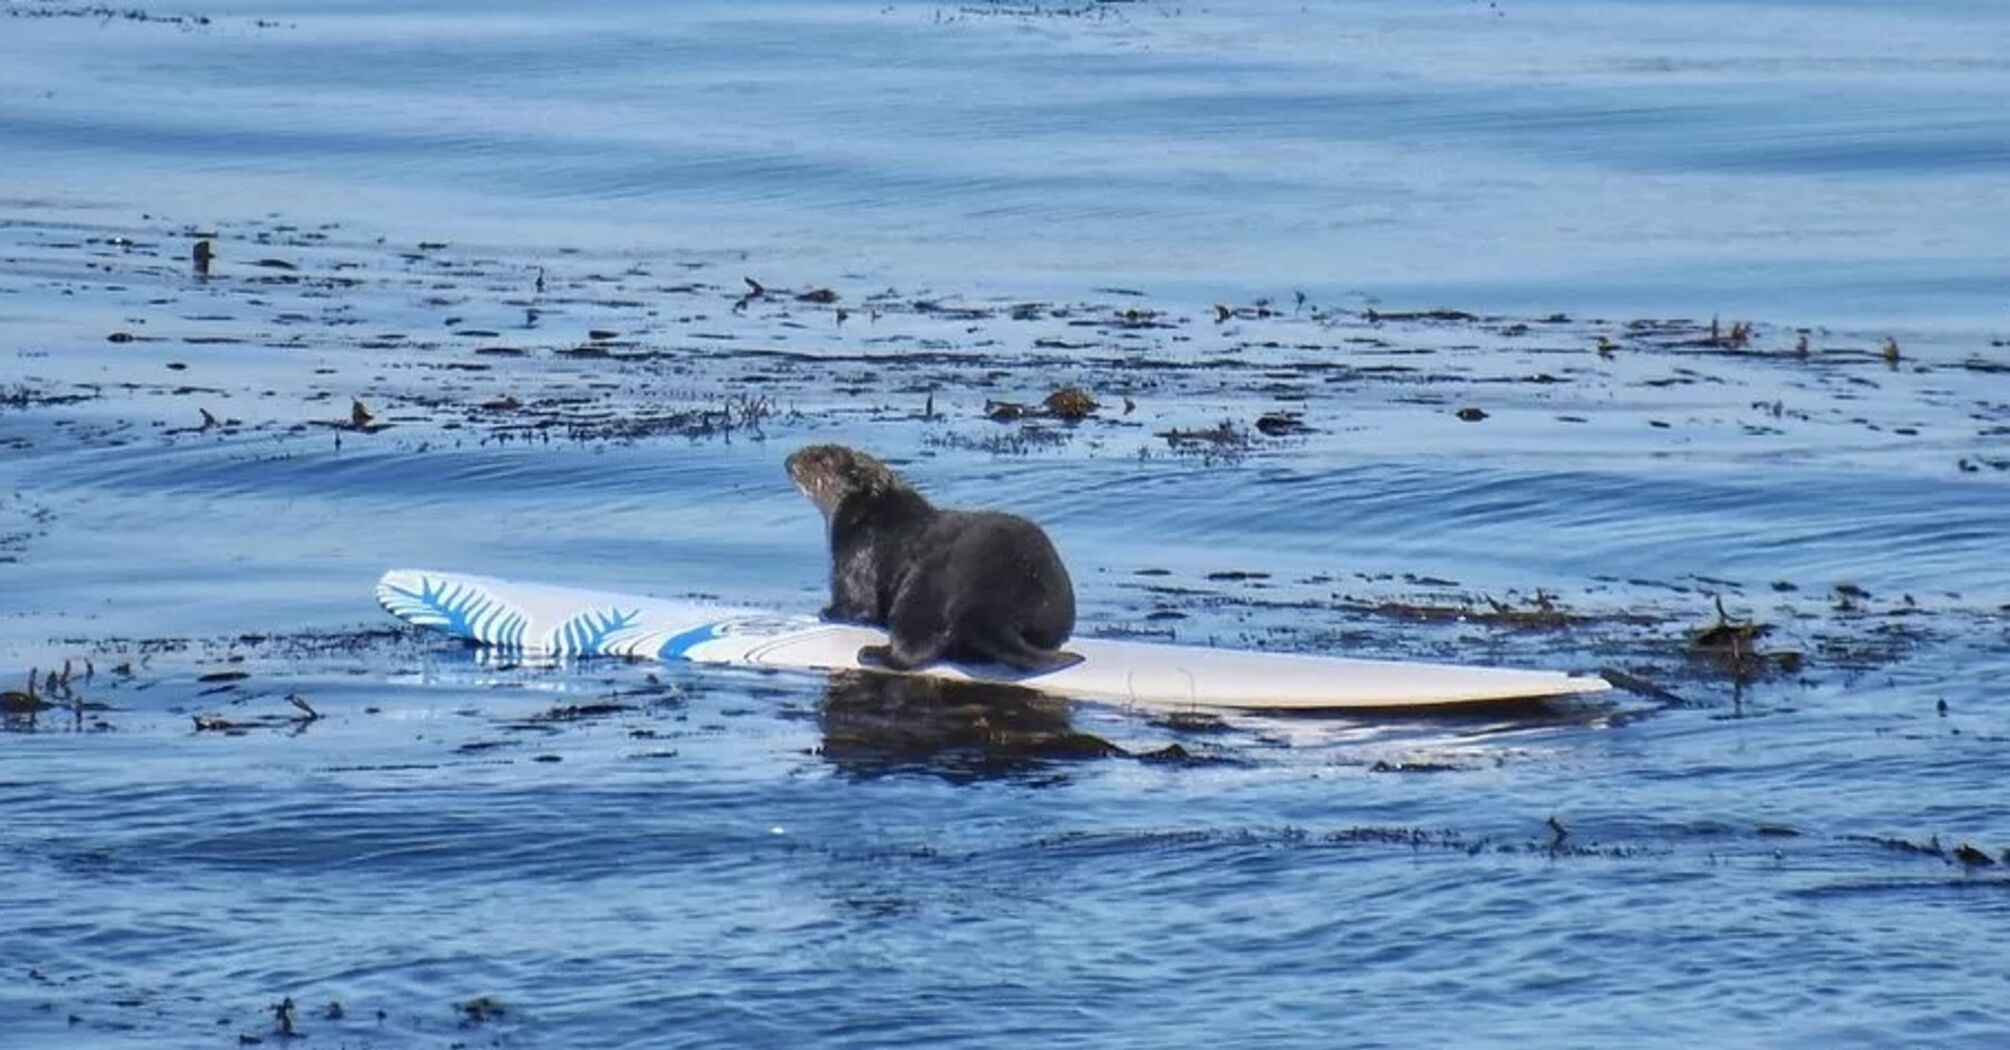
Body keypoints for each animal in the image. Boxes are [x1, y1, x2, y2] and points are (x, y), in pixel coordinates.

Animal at [779, 440, 1085, 671]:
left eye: (820, 458)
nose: (790, 459)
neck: (874, 513)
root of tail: (997, 607)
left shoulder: (854, 553)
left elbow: (858, 605)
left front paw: (828, 612)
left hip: (928, 584)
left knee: (913, 648)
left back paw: (872, 653)